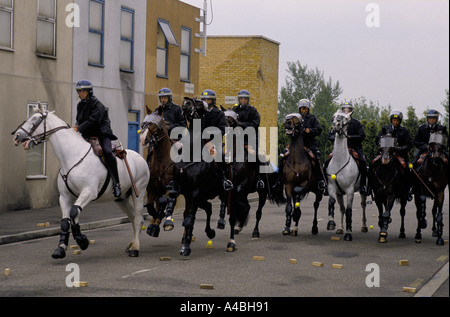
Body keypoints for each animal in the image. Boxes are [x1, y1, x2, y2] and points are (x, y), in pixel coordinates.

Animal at [11, 102, 149, 258]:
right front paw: (60, 248)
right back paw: (132, 243)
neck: (73, 156)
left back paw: (135, 248)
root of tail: (140, 158)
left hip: (139, 192)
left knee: (138, 219)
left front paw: (82, 241)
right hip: (121, 199)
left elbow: (74, 212)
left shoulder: (88, 192)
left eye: (35, 120)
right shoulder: (65, 197)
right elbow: (66, 221)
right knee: (133, 217)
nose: (17, 136)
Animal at [326, 111, 368, 239]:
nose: (336, 125)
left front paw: (348, 234)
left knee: (363, 205)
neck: (340, 161)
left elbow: (349, 211)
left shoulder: (350, 191)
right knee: (342, 208)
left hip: (363, 192)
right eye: (334, 117)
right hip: (340, 194)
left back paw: (364, 226)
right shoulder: (332, 188)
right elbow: (332, 203)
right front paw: (331, 223)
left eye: (345, 118)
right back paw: (340, 228)